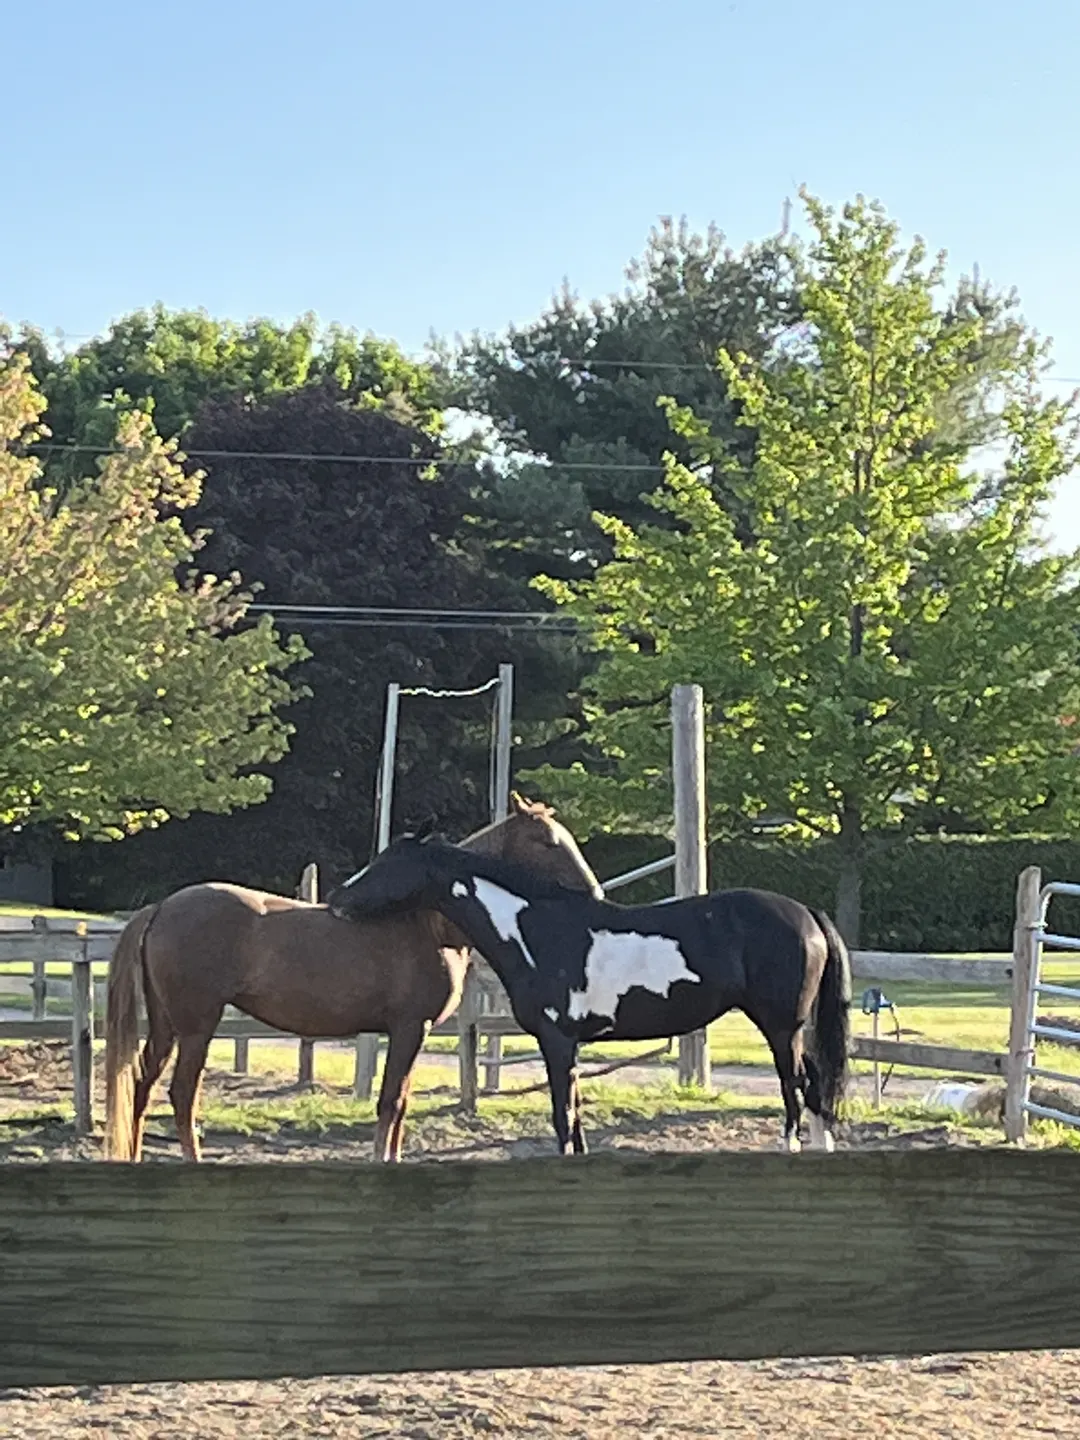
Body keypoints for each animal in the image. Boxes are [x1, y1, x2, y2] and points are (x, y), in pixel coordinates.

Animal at [103, 793, 603, 1165]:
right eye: (546, 841)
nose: (595, 894)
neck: (426, 922)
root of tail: (163, 907)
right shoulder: (409, 1028)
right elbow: (390, 1101)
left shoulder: (413, 1031)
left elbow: (401, 1101)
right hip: (197, 1027)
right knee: (182, 1093)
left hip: (167, 1026)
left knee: (142, 1085)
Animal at [327, 830, 852, 1156]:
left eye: (387, 863)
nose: (336, 899)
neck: (537, 930)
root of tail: (806, 913)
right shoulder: (570, 1045)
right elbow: (575, 1119)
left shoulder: (557, 1041)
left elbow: (563, 1119)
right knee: (814, 1086)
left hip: (781, 1026)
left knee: (797, 1087)